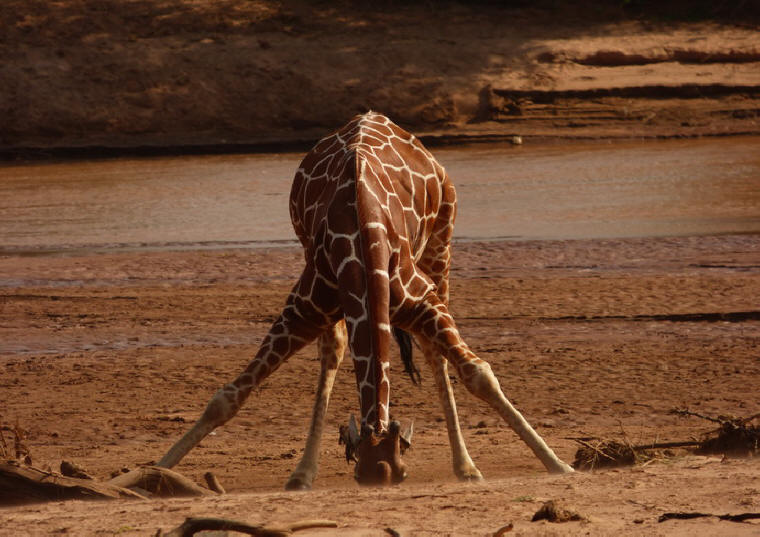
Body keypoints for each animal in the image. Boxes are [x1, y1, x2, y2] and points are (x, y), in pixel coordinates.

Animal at [157, 112, 572, 486]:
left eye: (399, 473)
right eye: (362, 472)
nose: (379, 476)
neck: (361, 239)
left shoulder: (422, 301)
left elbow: (480, 374)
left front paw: (557, 463)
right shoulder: (303, 308)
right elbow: (229, 396)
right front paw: (157, 468)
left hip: (442, 243)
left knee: (434, 353)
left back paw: (465, 466)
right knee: (336, 349)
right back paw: (303, 472)